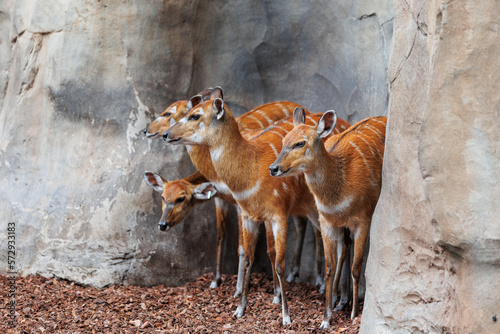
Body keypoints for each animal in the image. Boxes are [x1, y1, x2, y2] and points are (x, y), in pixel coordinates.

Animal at [163, 100, 348, 326]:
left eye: (195, 115)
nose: (166, 134)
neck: (252, 171)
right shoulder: (248, 215)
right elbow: (249, 257)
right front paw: (239, 310)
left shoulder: (278, 213)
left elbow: (278, 263)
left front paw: (286, 316)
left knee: (343, 243)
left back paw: (337, 300)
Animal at [272, 109, 384, 328]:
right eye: (283, 140)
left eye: (300, 143)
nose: (274, 168)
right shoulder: (327, 222)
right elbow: (329, 267)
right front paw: (326, 319)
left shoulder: (364, 218)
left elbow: (357, 267)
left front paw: (353, 315)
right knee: (345, 249)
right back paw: (339, 301)